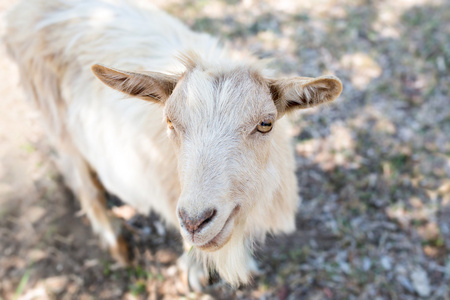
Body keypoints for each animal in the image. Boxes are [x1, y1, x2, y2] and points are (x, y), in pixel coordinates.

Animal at [3, 0, 342, 288]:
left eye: (265, 124)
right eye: (169, 122)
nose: (195, 221)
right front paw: (193, 271)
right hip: (54, 117)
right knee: (81, 179)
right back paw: (115, 240)